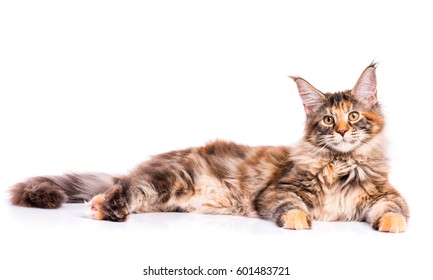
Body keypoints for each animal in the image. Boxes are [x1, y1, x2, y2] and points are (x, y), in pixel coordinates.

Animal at [9, 63, 408, 232]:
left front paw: (391, 227)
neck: (340, 163)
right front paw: (301, 221)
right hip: (168, 181)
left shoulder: (385, 195)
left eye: (353, 116)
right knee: (124, 187)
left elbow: (393, 211)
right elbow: (291, 207)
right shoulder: (277, 191)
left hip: (164, 196)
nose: (341, 131)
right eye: (327, 120)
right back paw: (101, 206)